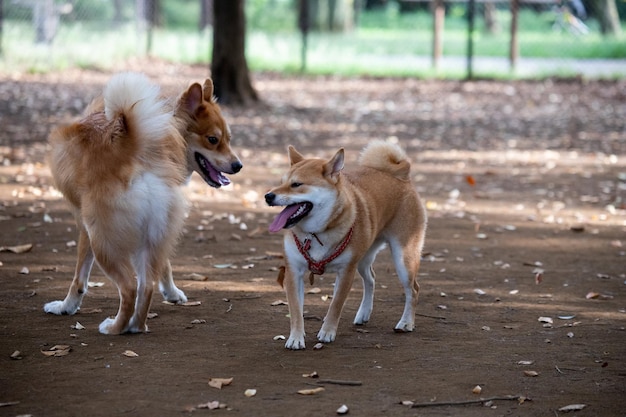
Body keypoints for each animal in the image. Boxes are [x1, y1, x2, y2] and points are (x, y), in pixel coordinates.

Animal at [44, 70, 241, 334]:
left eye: (227, 139)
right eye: (213, 139)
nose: (238, 166)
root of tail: (136, 147)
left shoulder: (85, 227)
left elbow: (79, 279)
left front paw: (66, 306)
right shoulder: (157, 235)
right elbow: (165, 264)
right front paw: (172, 292)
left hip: (102, 240)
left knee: (129, 287)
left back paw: (115, 327)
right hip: (146, 236)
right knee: (145, 286)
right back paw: (135, 325)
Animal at [264, 141, 424, 350]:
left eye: (296, 184)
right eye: (281, 181)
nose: (268, 196)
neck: (315, 233)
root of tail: (401, 175)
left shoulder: (346, 271)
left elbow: (335, 306)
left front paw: (327, 332)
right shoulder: (294, 272)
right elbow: (296, 311)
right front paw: (296, 338)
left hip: (402, 259)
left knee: (413, 290)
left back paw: (406, 323)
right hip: (363, 259)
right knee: (371, 279)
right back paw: (364, 314)